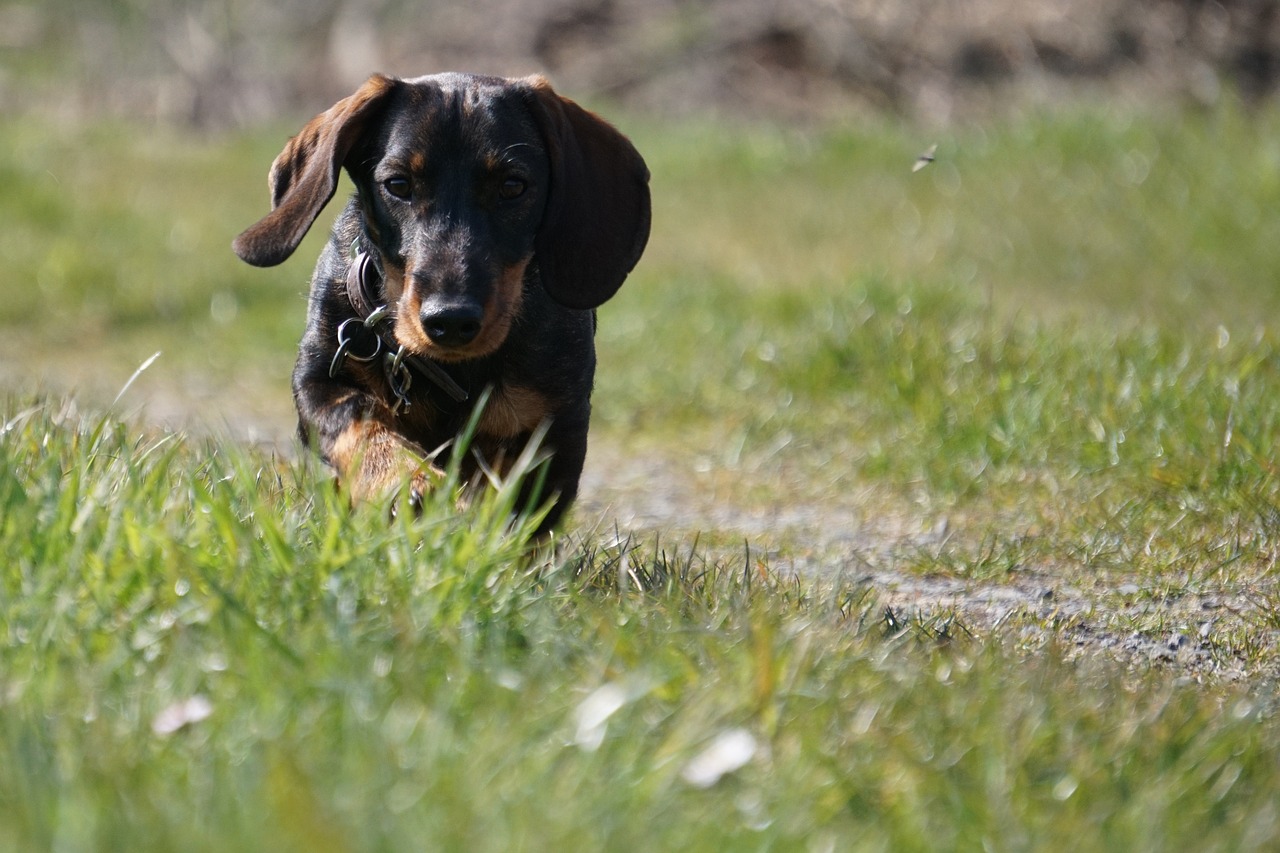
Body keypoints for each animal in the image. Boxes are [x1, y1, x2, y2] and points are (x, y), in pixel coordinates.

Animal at [234, 73, 650, 527]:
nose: (450, 320)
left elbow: (520, 515)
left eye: (513, 186)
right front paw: (409, 481)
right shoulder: (319, 381)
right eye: (398, 184)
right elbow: (360, 420)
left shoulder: (556, 426)